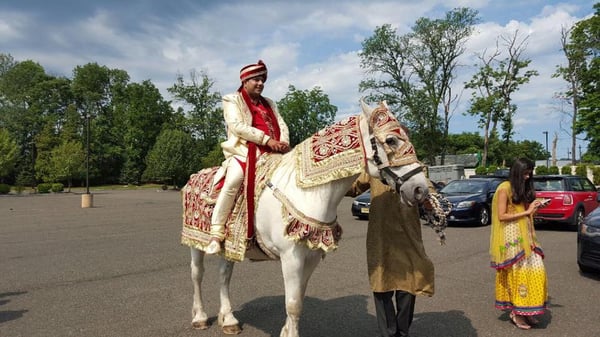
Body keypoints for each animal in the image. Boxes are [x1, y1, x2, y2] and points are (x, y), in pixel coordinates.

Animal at [180, 100, 428, 336]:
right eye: (391, 140)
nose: (420, 190)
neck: (306, 193)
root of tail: (194, 176)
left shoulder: (311, 256)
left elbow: (298, 301)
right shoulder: (291, 258)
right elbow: (292, 304)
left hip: (230, 246)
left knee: (224, 275)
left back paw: (229, 320)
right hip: (196, 243)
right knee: (197, 274)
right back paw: (200, 317)